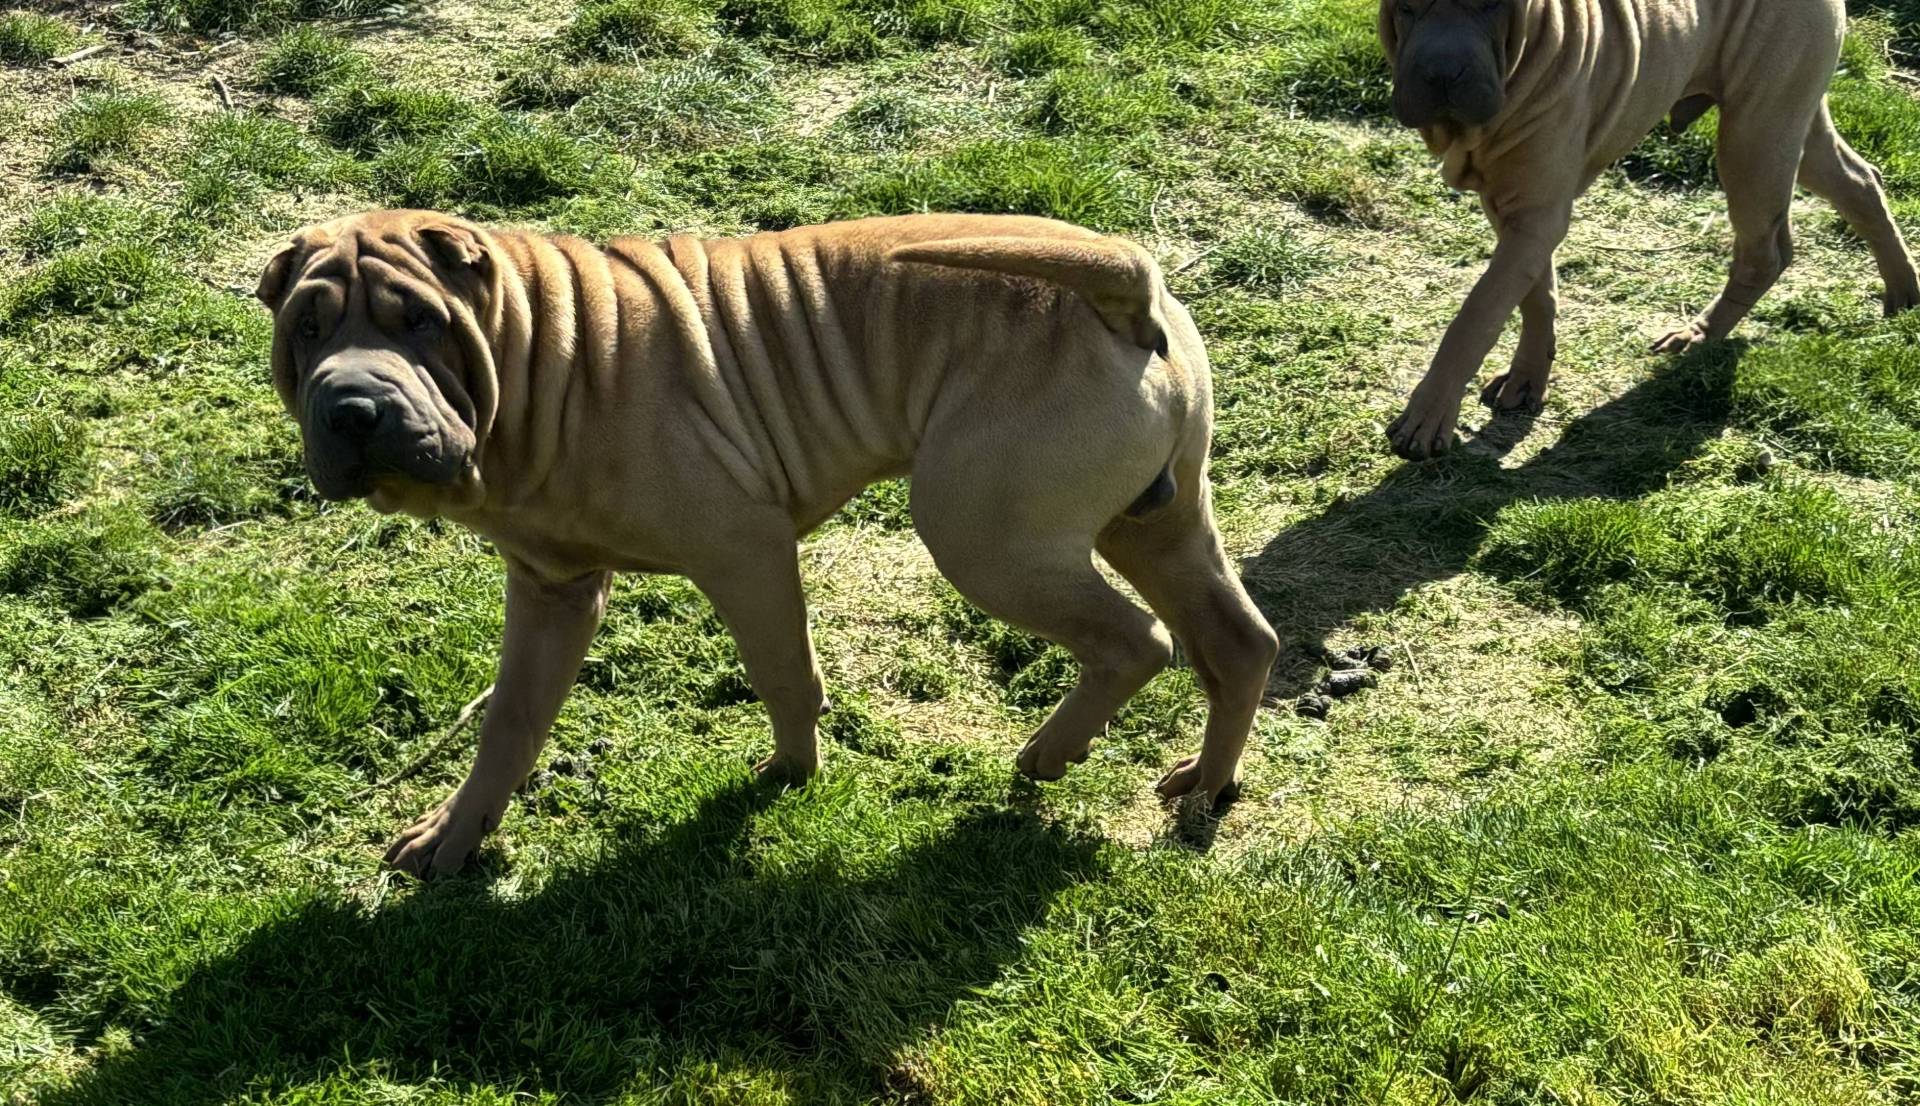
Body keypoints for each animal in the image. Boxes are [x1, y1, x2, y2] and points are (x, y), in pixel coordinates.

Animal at [251, 211, 1274, 875]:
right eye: (306, 330)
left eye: (422, 322)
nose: (352, 407)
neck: (545, 357)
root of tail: (1123, 284)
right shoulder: (551, 590)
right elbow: (510, 720)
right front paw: (457, 836)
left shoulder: (743, 548)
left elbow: (783, 670)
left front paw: (790, 774)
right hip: (1154, 522)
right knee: (1237, 641)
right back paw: (1205, 787)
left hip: (983, 537)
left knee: (1137, 640)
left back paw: (1049, 755)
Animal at [1382, 0, 1920, 456]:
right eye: (1405, 8)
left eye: (1492, 6)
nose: (1442, 74)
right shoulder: (1520, 211)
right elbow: (1536, 294)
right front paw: (1527, 379)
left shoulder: (1534, 215)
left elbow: (1475, 317)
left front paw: (1427, 417)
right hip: (1791, 125)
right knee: (1860, 183)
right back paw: (1904, 293)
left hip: (1755, 135)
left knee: (1767, 249)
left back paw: (1699, 334)